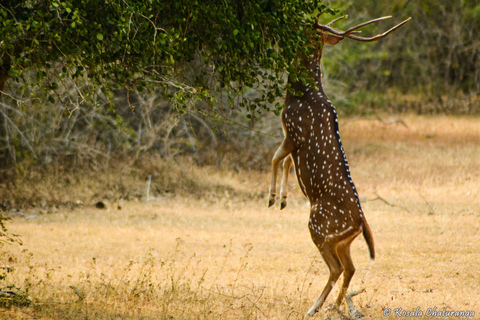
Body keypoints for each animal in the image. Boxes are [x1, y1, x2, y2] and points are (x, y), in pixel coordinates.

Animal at [268, 15, 410, 318]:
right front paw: (282, 199)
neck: (298, 95)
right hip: (342, 240)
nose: (294, 21)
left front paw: (272, 198)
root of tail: (359, 224)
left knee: (336, 268)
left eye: (307, 26)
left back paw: (314, 308)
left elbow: (276, 158)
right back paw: (335, 305)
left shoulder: (293, 132)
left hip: (319, 228)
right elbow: (284, 163)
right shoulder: (291, 140)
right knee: (350, 268)